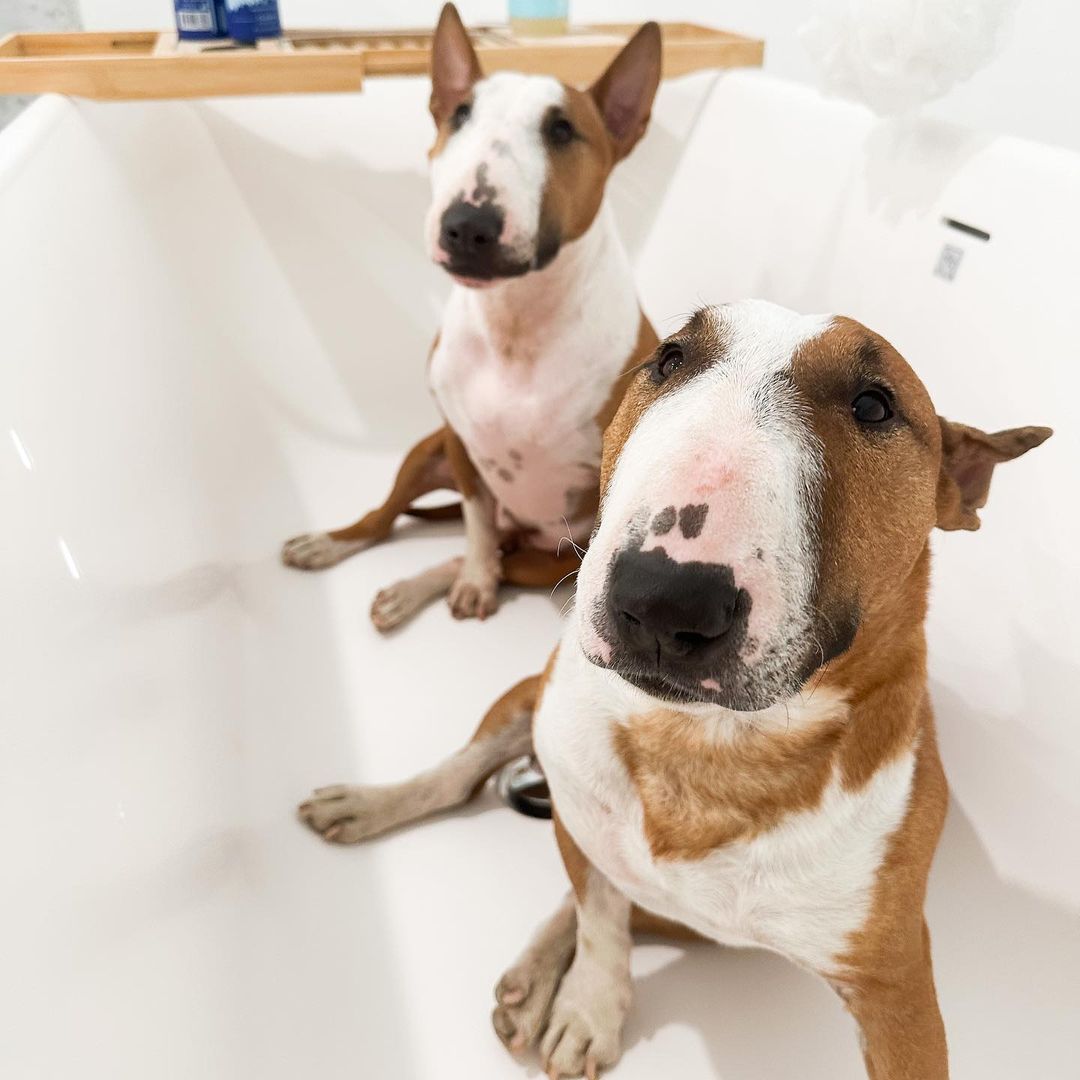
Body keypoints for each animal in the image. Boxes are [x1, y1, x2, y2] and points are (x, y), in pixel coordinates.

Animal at [281, 5, 661, 632]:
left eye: (562, 130)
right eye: (460, 115)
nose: (467, 225)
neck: (515, 321)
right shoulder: (461, 445)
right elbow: (476, 523)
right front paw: (475, 578)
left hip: (550, 553)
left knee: (509, 558)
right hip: (424, 450)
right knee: (390, 519)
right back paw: (339, 548)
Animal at [299, 300, 1051, 1078]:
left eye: (875, 405)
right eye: (669, 359)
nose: (663, 597)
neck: (705, 746)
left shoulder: (895, 985)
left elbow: (602, 910)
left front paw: (576, 1004)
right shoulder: (580, 809)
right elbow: (601, 921)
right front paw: (589, 1009)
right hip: (528, 702)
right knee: (460, 775)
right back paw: (369, 797)